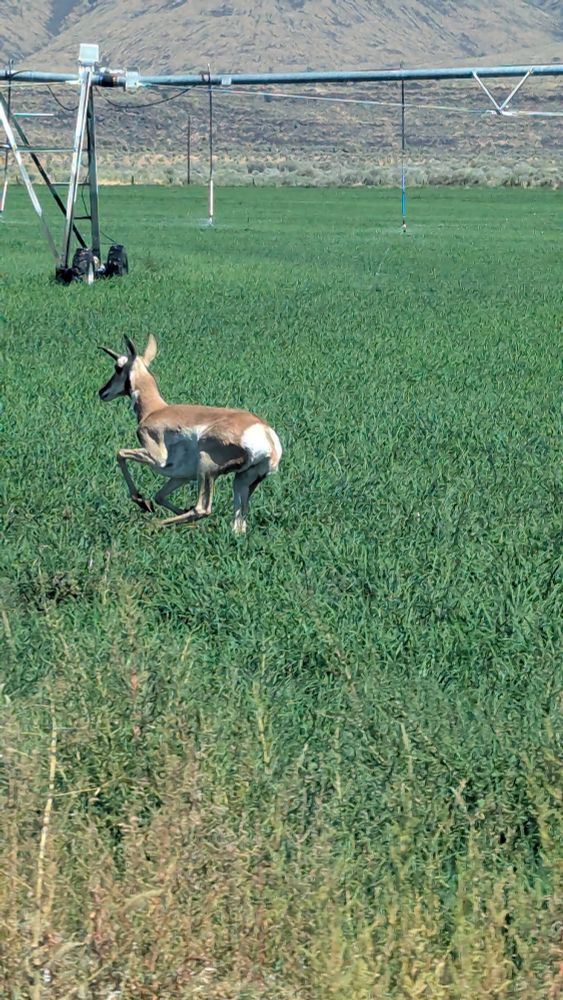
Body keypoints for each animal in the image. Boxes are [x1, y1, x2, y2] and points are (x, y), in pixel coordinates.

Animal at [98, 335, 282, 534]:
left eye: (118, 367)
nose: (102, 392)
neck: (155, 410)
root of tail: (267, 435)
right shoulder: (181, 476)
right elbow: (159, 496)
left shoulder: (157, 459)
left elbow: (120, 453)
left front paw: (141, 501)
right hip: (242, 481)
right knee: (238, 526)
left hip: (207, 468)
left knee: (202, 509)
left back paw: (151, 525)